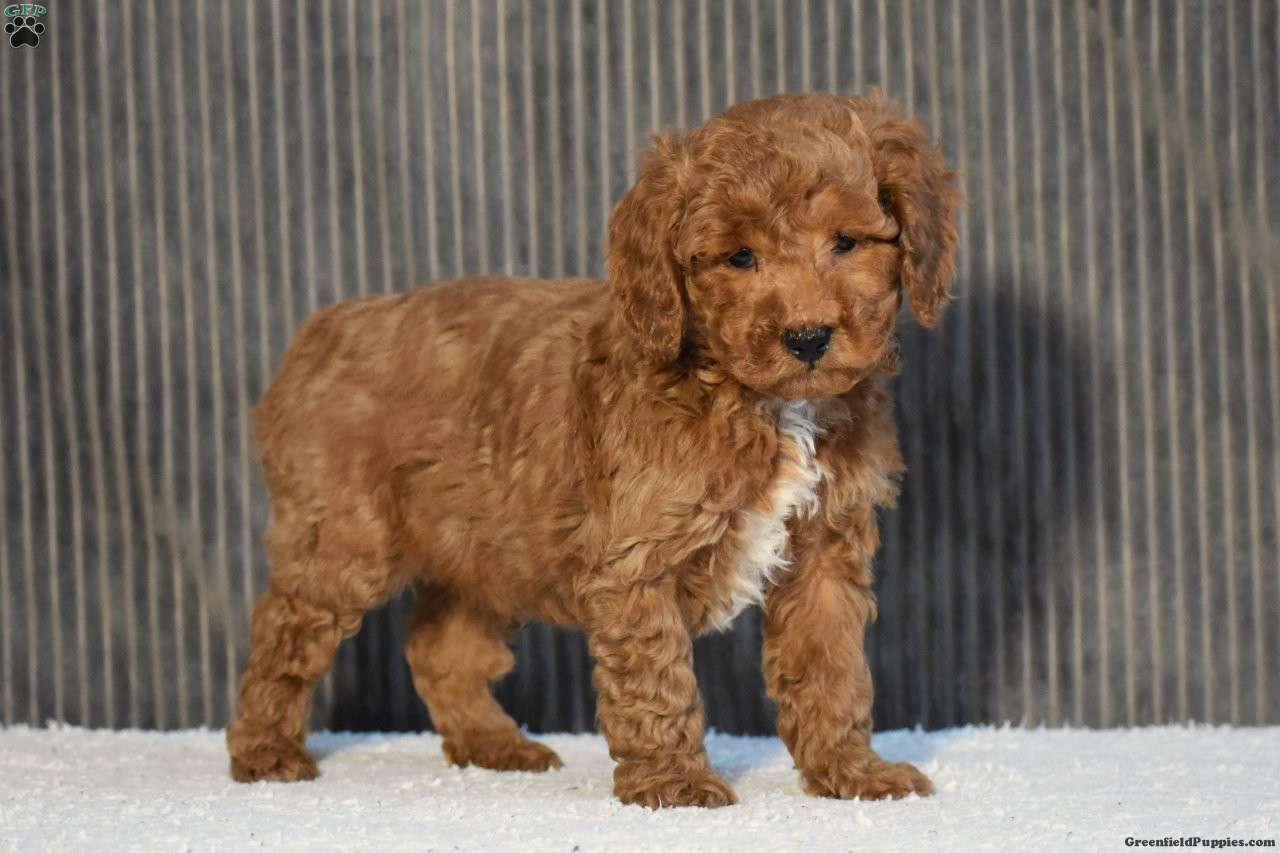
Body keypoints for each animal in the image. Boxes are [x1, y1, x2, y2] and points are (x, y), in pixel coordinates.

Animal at [226, 90, 959, 808]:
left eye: (847, 241)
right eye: (740, 258)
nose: (807, 337)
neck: (758, 398)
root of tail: (322, 331)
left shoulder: (823, 551)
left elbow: (832, 668)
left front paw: (852, 772)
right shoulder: (635, 558)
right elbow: (657, 676)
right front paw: (673, 783)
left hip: (484, 546)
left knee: (441, 647)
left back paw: (494, 746)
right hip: (345, 540)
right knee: (283, 632)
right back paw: (266, 751)